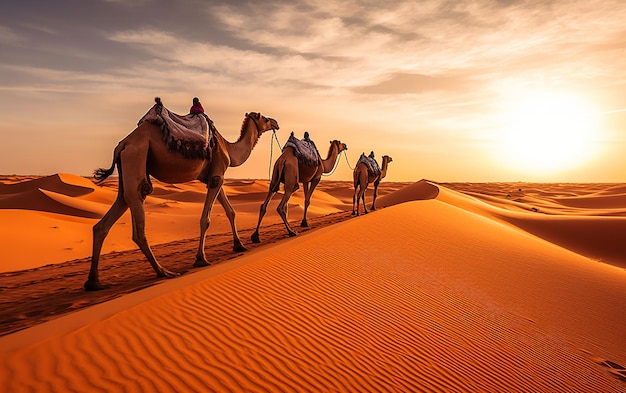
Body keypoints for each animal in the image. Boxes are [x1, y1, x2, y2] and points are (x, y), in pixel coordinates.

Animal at [84, 102, 278, 290]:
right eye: (264, 118)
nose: (276, 122)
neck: (228, 148)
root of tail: (122, 144)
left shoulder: (213, 178)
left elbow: (231, 211)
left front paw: (239, 245)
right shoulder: (217, 176)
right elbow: (206, 219)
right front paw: (201, 259)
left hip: (126, 170)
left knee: (111, 214)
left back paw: (94, 282)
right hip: (136, 156)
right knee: (137, 210)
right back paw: (164, 272)